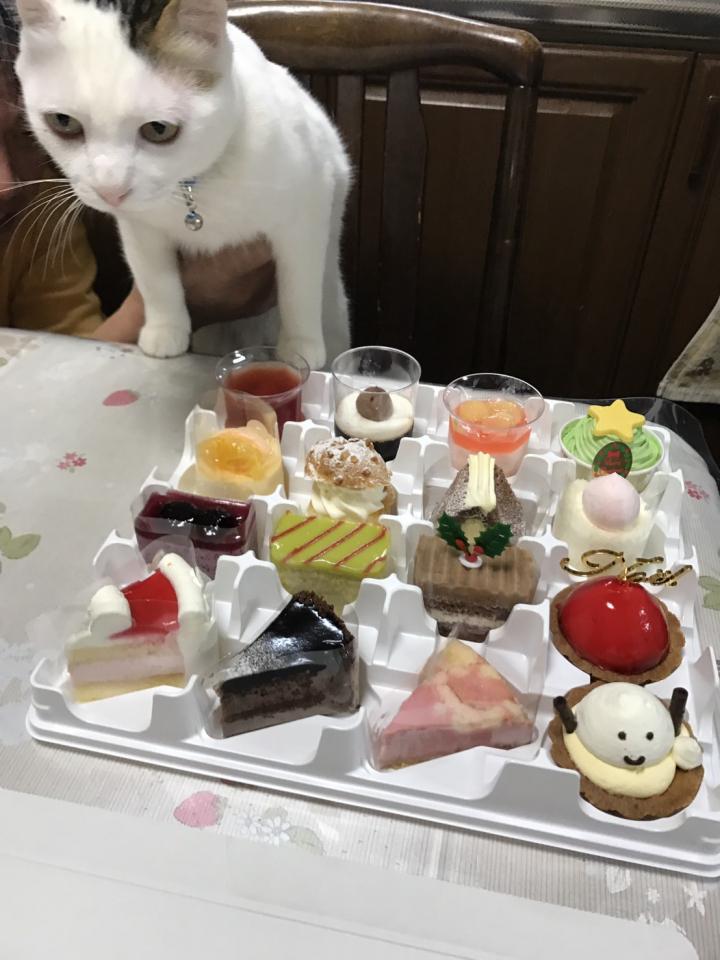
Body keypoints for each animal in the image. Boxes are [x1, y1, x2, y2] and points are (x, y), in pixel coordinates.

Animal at [15, 0, 351, 367]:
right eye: (63, 122)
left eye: (159, 129)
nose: (110, 191)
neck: (193, 186)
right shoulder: (140, 228)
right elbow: (156, 279)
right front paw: (165, 329)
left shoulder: (307, 210)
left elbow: (298, 285)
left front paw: (299, 346)